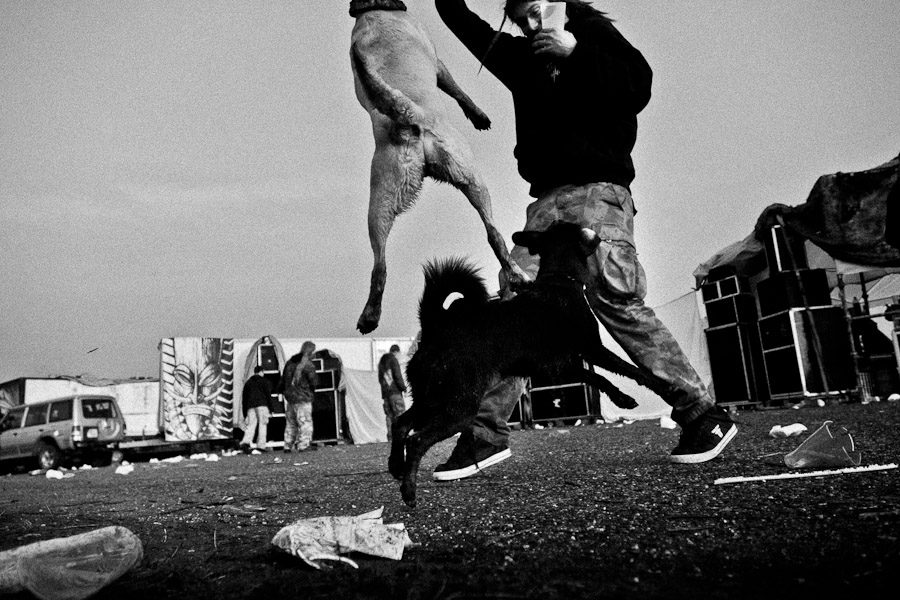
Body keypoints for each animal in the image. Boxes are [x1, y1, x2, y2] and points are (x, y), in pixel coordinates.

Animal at [346, 0, 528, 332]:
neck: (374, 10)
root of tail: (408, 116)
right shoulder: (439, 63)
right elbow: (456, 89)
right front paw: (478, 116)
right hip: (472, 176)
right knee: (494, 234)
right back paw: (518, 276)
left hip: (380, 199)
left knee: (380, 265)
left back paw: (370, 315)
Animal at [390, 220, 680, 506]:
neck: (560, 280)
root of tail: (434, 328)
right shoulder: (592, 350)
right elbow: (630, 369)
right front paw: (662, 387)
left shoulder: (565, 366)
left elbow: (598, 378)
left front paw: (622, 398)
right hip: (458, 407)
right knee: (416, 440)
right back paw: (409, 492)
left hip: (432, 398)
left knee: (400, 423)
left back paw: (396, 467)